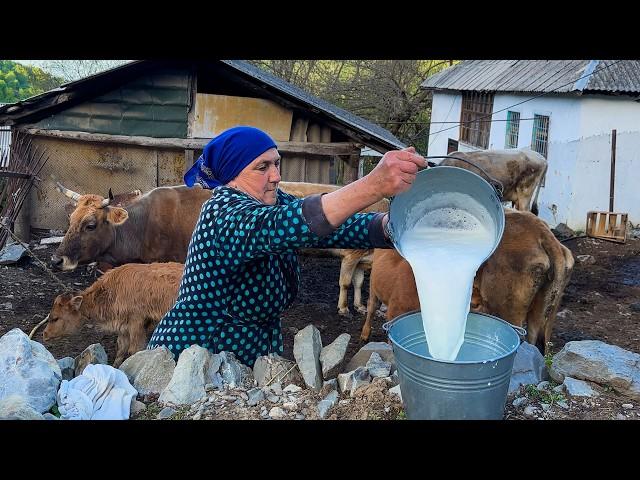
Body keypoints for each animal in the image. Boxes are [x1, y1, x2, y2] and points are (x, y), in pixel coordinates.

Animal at [42, 260, 184, 366]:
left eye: (55, 318)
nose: (44, 334)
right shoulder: (123, 328)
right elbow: (121, 349)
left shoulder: (136, 324)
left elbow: (134, 350)